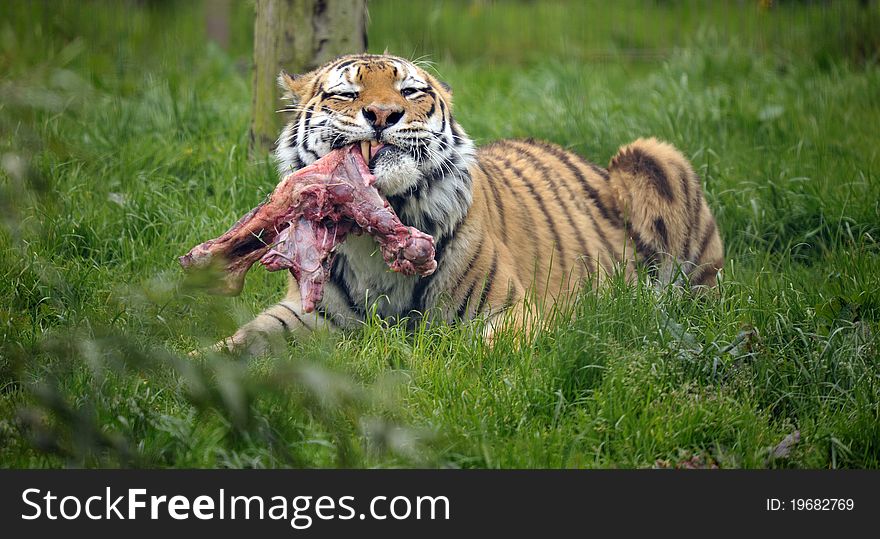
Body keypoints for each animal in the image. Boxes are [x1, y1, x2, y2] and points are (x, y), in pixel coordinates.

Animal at [213, 52, 720, 356]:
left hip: (652, 156)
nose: (382, 115)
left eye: (410, 91)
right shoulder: (310, 314)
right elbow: (239, 342)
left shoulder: (514, 312)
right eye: (348, 93)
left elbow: (467, 351)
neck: (381, 226)